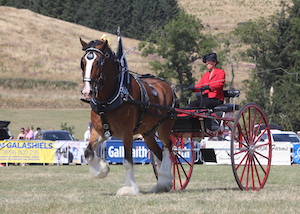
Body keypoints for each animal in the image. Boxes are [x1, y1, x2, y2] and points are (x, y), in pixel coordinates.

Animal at [80, 37, 178, 195]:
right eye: (83, 62)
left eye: (99, 62)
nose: (87, 91)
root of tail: (167, 86)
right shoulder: (100, 131)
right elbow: (88, 152)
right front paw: (102, 169)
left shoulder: (126, 133)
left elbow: (127, 161)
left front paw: (129, 188)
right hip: (148, 133)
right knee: (158, 153)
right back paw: (162, 184)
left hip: (164, 127)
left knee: (168, 147)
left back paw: (165, 179)